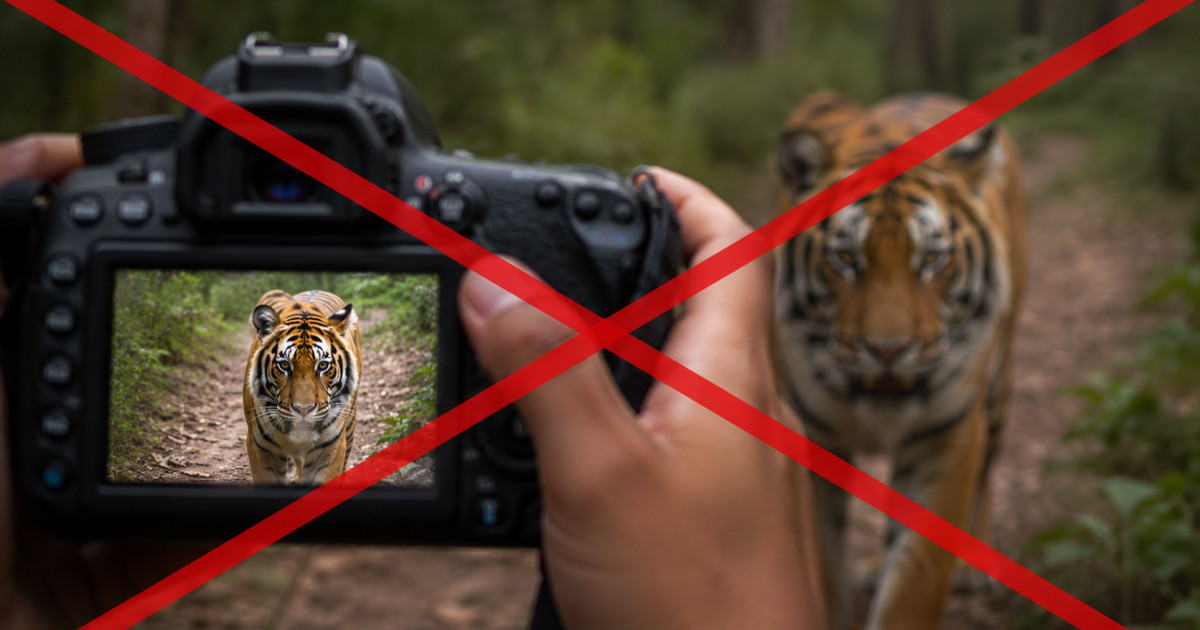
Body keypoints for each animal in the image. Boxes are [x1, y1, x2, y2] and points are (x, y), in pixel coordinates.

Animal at [771, 91, 1027, 630]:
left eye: (931, 258)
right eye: (846, 258)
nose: (887, 350)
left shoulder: (947, 436)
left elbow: (915, 581)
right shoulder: (811, 437)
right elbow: (823, 567)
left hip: (998, 384)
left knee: (989, 469)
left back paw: (976, 564)